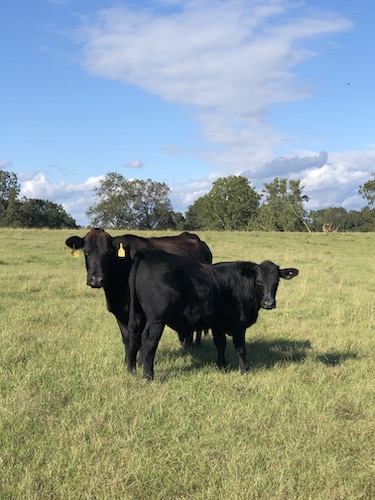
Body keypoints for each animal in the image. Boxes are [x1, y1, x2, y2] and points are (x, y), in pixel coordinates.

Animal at [64, 228, 212, 364]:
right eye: (86, 252)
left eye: (108, 252)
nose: (96, 279)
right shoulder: (119, 312)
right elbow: (126, 337)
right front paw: (127, 361)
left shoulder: (141, 312)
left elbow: (140, 336)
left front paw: (140, 362)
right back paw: (188, 345)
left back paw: (197, 345)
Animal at [129, 250, 300, 378]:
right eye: (259, 282)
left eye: (276, 281)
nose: (268, 303)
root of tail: (149, 254)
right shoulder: (238, 326)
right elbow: (241, 348)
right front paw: (245, 370)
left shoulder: (218, 323)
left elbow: (220, 344)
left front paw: (222, 366)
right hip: (156, 320)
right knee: (149, 340)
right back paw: (148, 375)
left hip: (140, 315)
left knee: (135, 335)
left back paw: (132, 368)